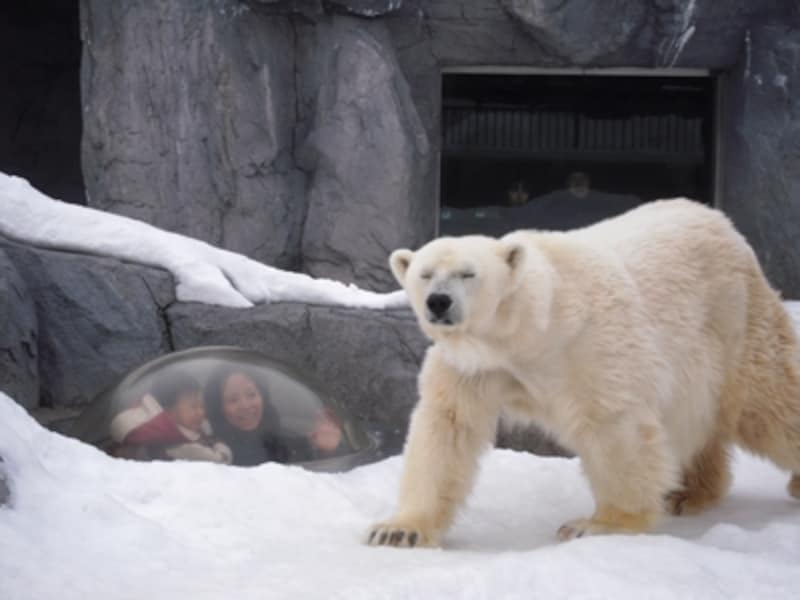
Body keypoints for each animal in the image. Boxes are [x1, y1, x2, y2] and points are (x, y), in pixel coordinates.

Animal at [368, 199, 800, 548]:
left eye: (467, 273)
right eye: (424, 274)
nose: (438, 302)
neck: (528, 329)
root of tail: (721, 220)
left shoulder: (585, 344)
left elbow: (613, 425)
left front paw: (598, 524)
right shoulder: (473, 366)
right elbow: (447, 428)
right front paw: (398, 530)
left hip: (733, 323)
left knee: (770, 403)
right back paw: (688, 493)